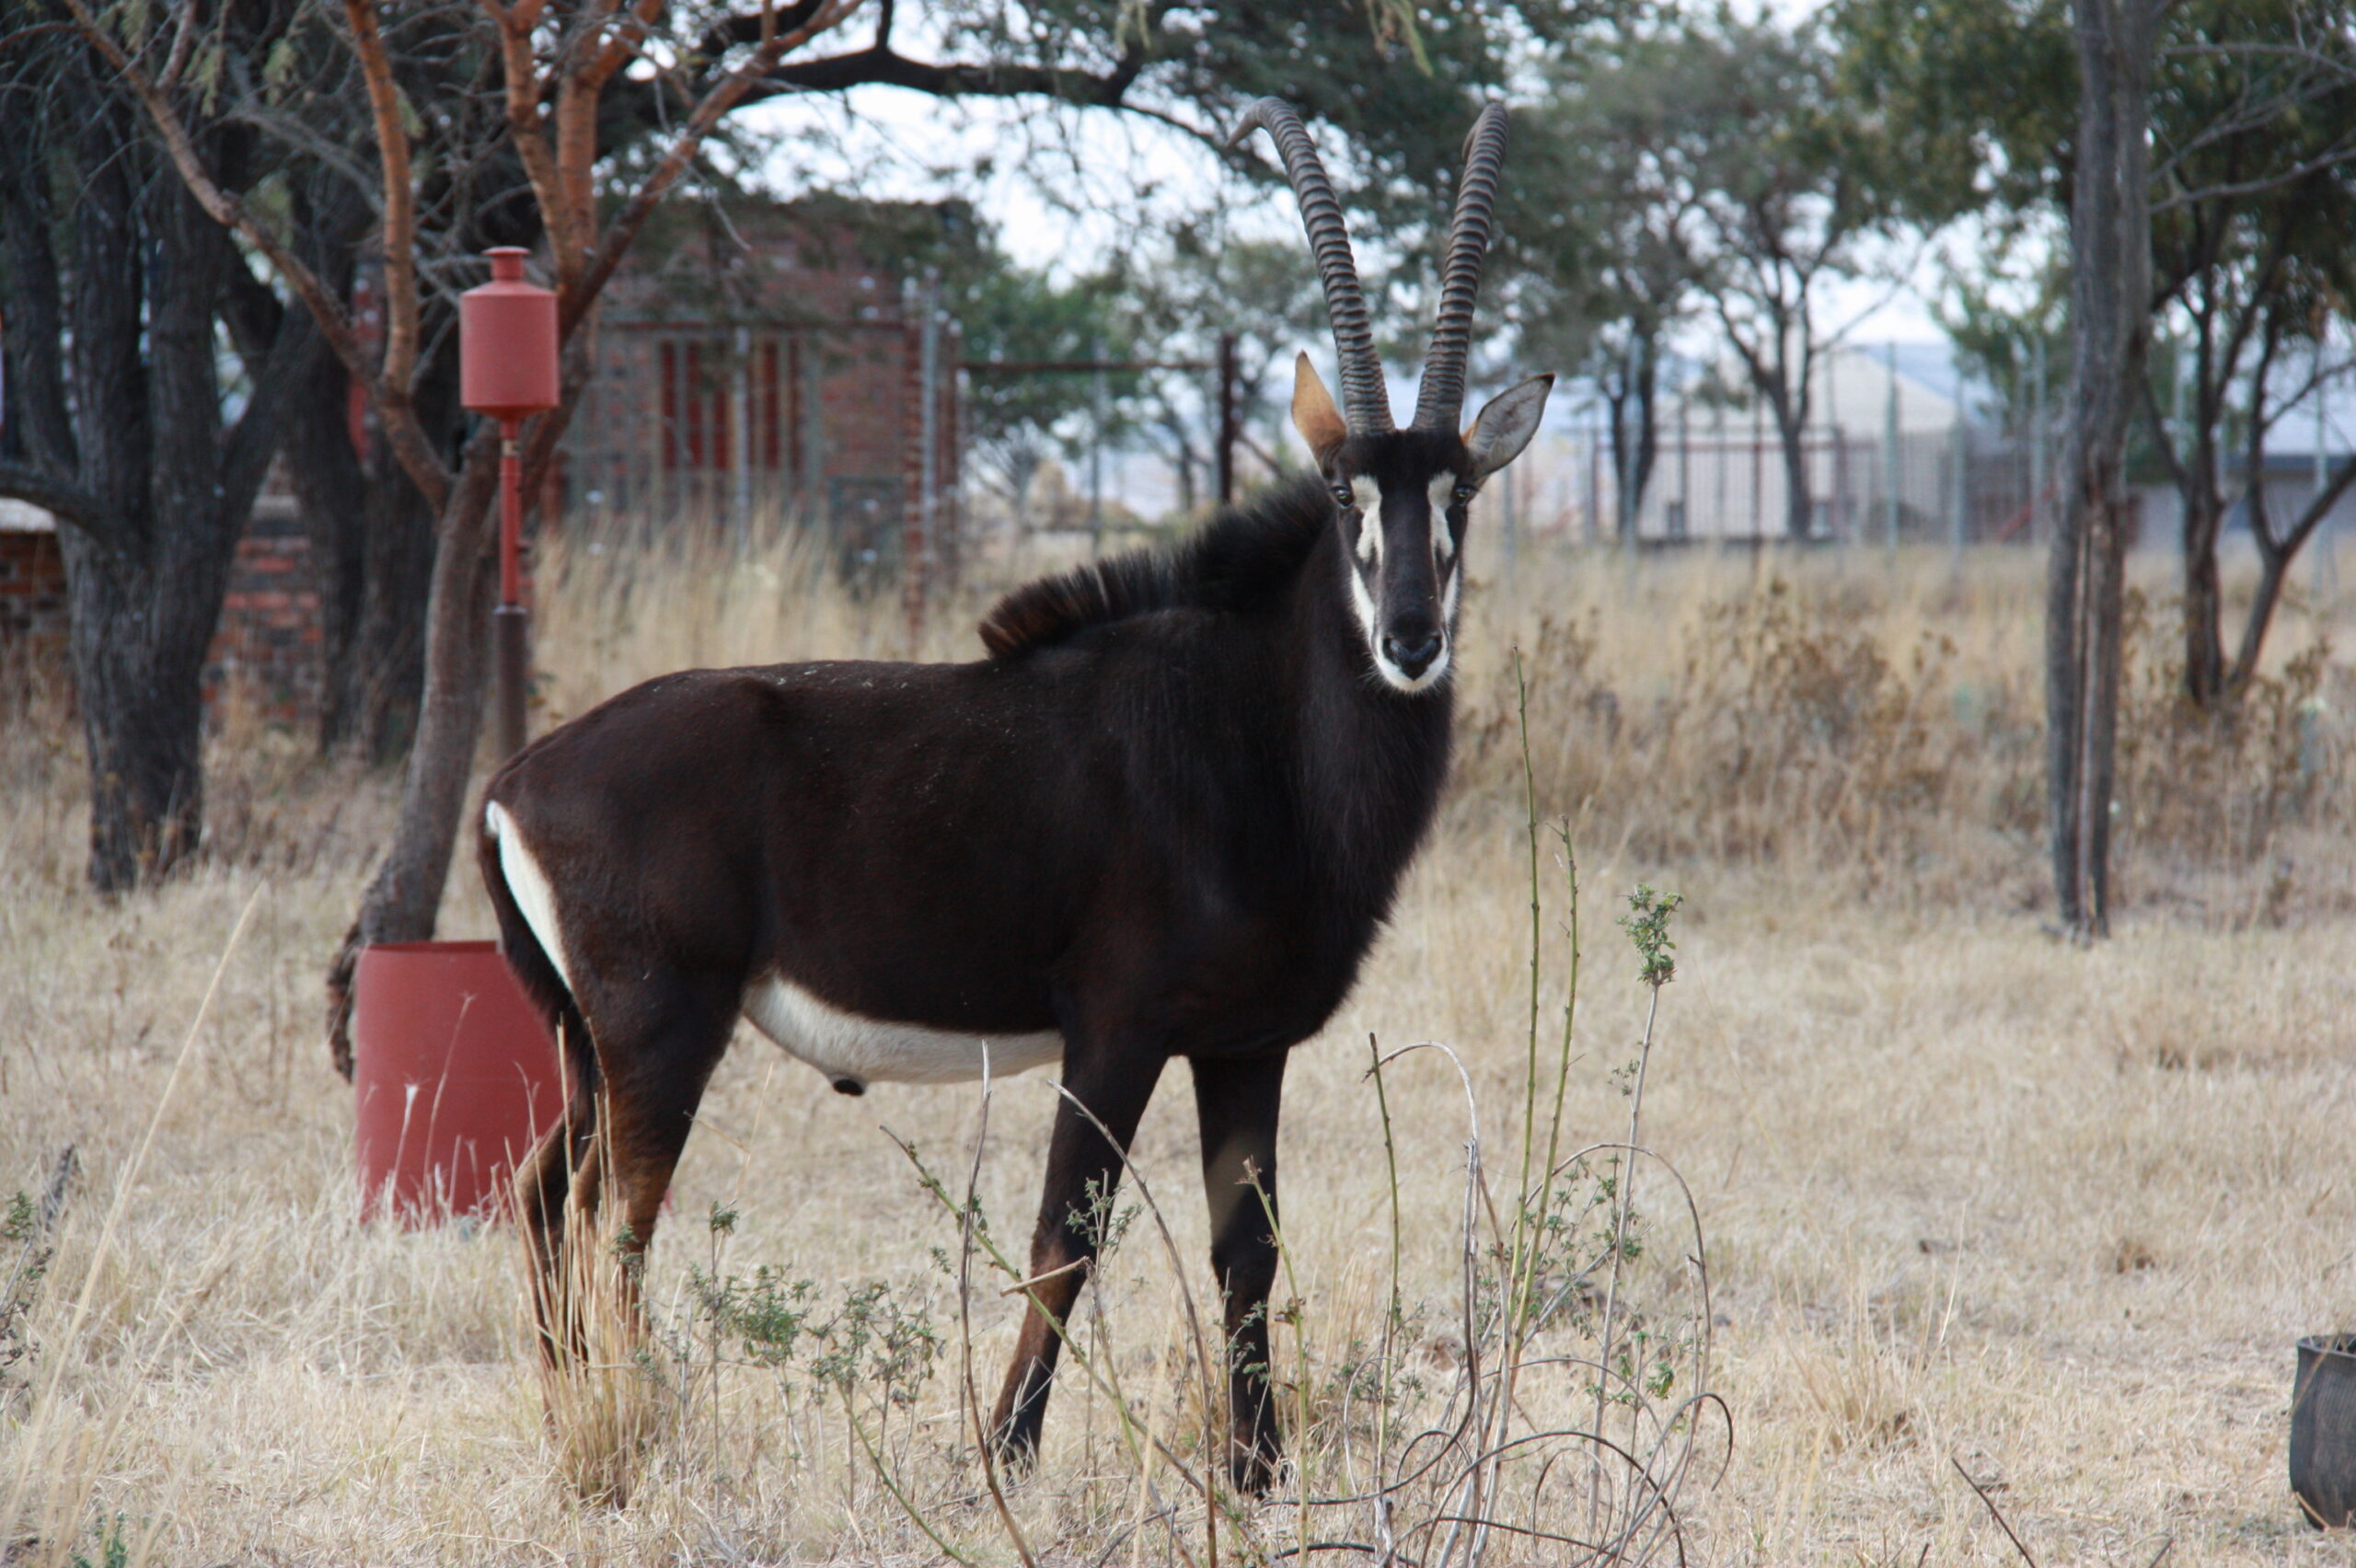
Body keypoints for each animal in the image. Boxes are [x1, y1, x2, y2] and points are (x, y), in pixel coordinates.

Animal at [477, 96, 1550, 1492]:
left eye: (1461, 487)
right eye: (1342, 491)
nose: (1412, 640)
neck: (1254, 733)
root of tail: (515, 781)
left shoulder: (1242, 1044)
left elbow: (1247, 1250)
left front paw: (1258, 1474)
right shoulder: (1115, 1030)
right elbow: (1065, 1236)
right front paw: (1007, 1456)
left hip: (585, 1044)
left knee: (545, 1195)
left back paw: (573, 1421)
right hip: (662, 1030)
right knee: (620, 1224)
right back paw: (632, 1433)